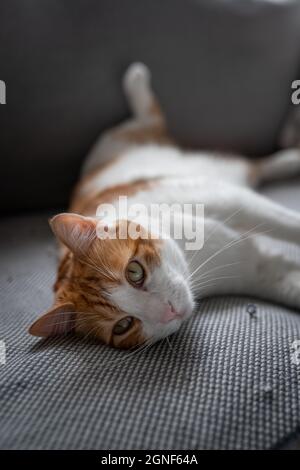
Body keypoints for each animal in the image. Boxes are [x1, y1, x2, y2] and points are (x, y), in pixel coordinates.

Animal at [28, 62, 300, 348]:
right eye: (123, 325)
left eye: (134, 272)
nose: (168, 311)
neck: (191, 254)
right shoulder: (260, 270)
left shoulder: (233, 201)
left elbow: (288, 223)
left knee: (154, 119)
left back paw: (136, 81)